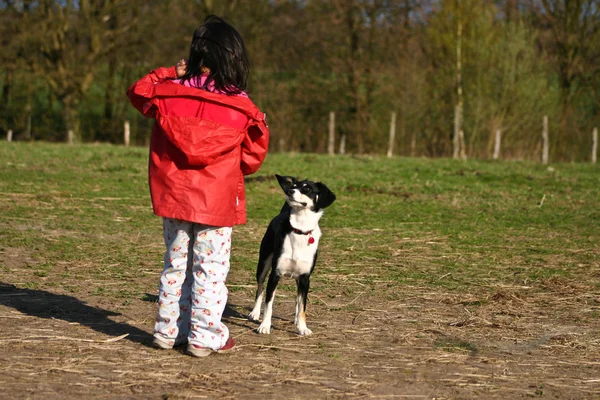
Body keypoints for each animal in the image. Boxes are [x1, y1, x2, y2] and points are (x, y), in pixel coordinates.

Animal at [247, 175, 336, 334]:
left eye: (307, 189)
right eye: (294, 186)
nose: (289, 191)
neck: (300, 230)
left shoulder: (305, 278)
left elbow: (302, 306)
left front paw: (303, 327)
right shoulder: (275, 275)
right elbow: (268, 304)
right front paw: (265, 325)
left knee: (297, 299)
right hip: (263, 264)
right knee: (260, 288)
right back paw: (255, 313)